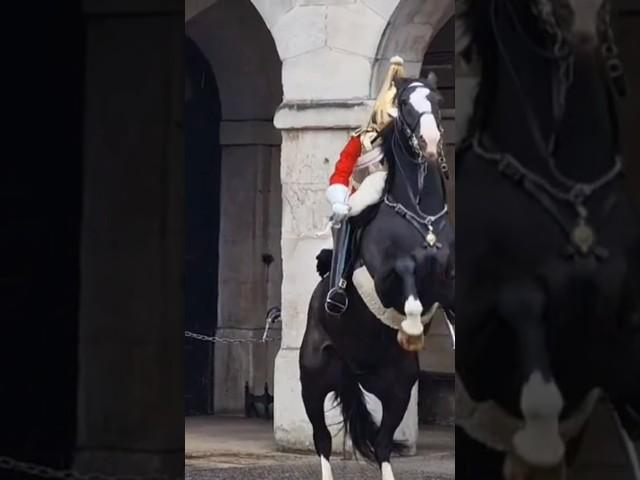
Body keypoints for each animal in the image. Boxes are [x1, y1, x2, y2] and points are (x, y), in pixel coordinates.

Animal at [300, 76, 456, 480]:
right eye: (407, 104)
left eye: (437, 100)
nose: (430, 142)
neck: (420, 219)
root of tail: (354, 371)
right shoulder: (386, 280)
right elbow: (408, 281)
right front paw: (413, 328)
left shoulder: (447, 277)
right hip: (314, 379)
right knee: (322, 441)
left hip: (397, 388)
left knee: (383, 444)